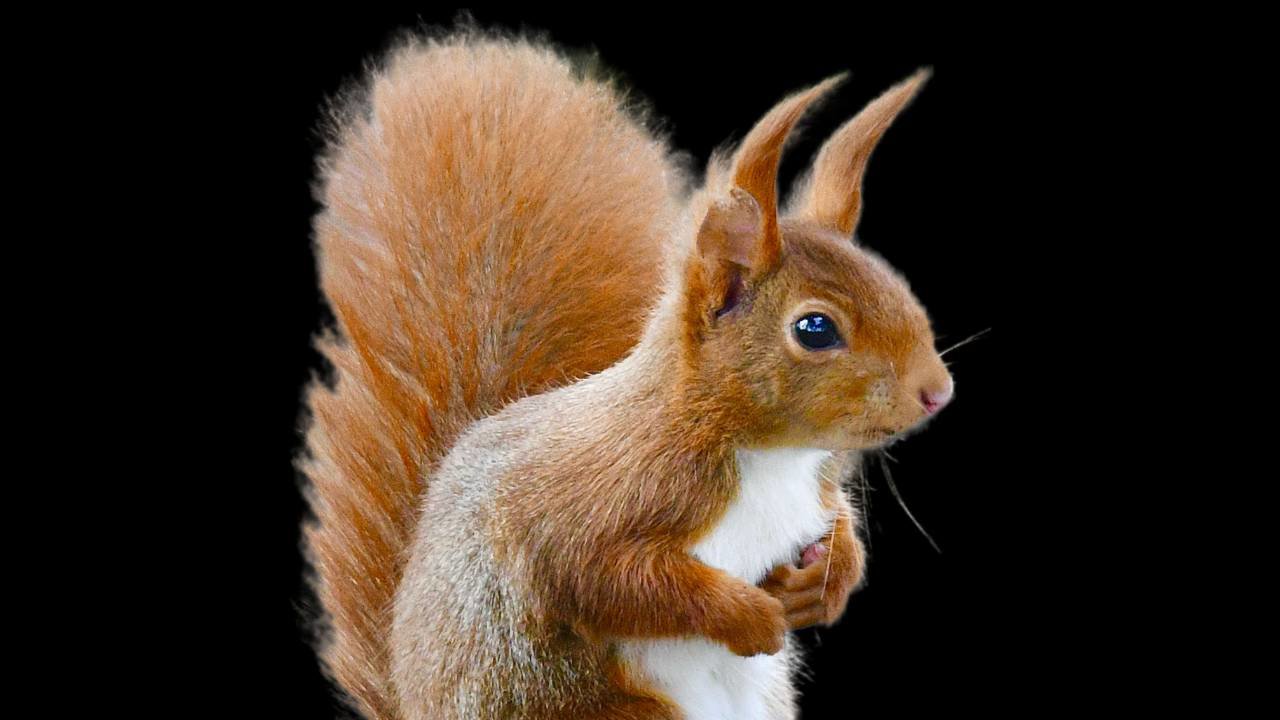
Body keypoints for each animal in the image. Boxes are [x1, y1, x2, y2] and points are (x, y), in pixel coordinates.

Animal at [300, 30, 952, 720]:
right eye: (815, 329)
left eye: (895, 286)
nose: (937, 391)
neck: (771, 457)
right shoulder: (597, 497)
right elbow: (610, 579)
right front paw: (749, 616)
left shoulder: (815, 489)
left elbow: (837, 526)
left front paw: (824, 581)